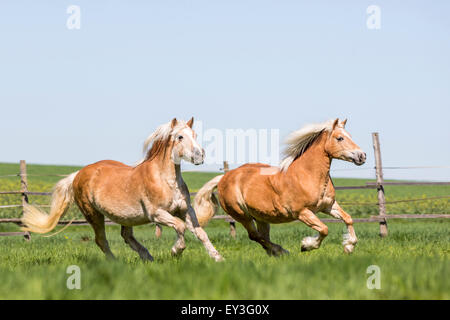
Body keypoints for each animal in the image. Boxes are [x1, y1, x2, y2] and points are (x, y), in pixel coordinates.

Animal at [21, 117, 225, 262]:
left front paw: (218, 258)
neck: (166, 180)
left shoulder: (185, 210)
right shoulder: (156, 214)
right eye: (180, 137)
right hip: (93, 214)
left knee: (126, 236)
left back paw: (147, 257)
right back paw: (117, 262)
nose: (199, 155)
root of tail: (78, 174)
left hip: (126, 216)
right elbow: (180, 227)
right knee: (101, 240)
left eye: (195, 135)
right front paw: (176, 251)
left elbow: (201, 233)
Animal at [192, 119, 366, 256]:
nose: (362, 156)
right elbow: (324, 229)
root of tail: (224, 178)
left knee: (262, 236)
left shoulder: (328, 206)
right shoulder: (302, 212)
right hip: (242, 215)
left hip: (261, 216)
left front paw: (349, 247)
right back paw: (281, 251)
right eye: (340, 138)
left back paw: (274, 253)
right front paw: (306, 246)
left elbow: (348, 219)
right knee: (254, 236)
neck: (307, 175)